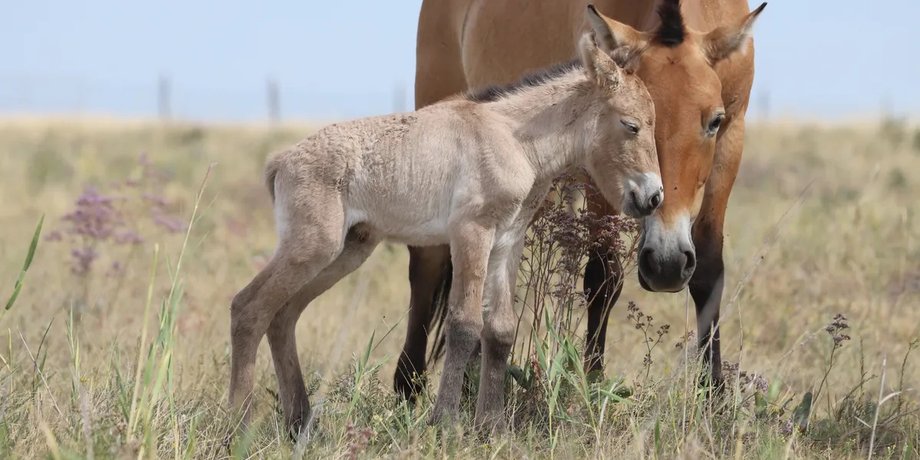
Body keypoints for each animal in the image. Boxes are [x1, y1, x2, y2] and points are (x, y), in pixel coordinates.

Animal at [228, 27, 662, 433]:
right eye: (631, 125)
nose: (653, 197)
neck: (514, 139)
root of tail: (282, 161)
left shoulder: (507, 241)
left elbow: (501, 330)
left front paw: (493, 427)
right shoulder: (471, 232)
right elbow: (465, 324)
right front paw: (446, 423)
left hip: (347, 251)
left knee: (282, 315)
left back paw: (299, 423)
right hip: (313, 247)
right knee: (249, 308)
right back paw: (238, 426)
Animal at [395, 0, 766, 401]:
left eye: (714, 121)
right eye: (629, 124)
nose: (666, 265)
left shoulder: (731, 143)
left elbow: (709, 272)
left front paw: (714, 394)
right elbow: (603, 276)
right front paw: (594, 383)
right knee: (427, 264)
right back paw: (409, 385)